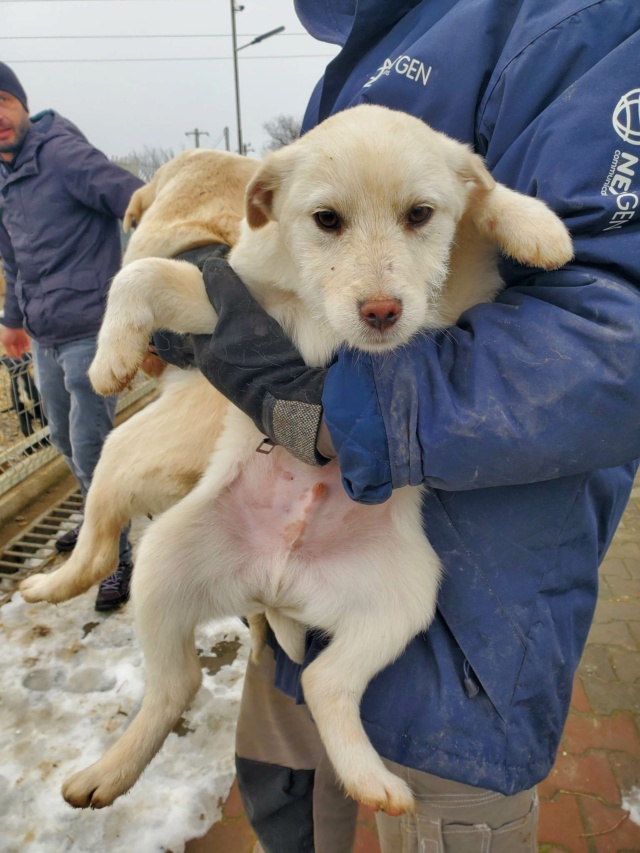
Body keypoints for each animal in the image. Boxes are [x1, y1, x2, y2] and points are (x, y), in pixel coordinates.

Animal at [56, 105, 576, 812]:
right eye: (326, 220)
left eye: (420, 215)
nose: (381, 312)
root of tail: (276, 585)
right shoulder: (231, 302)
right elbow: (142, 274)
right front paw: (111, 361)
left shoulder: (460, 297)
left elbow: (483, 193)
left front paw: (539, 227)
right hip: (164, 564)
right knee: (176, 683)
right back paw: (103, 772)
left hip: (402, 599)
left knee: (321, 682)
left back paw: (371, 781)